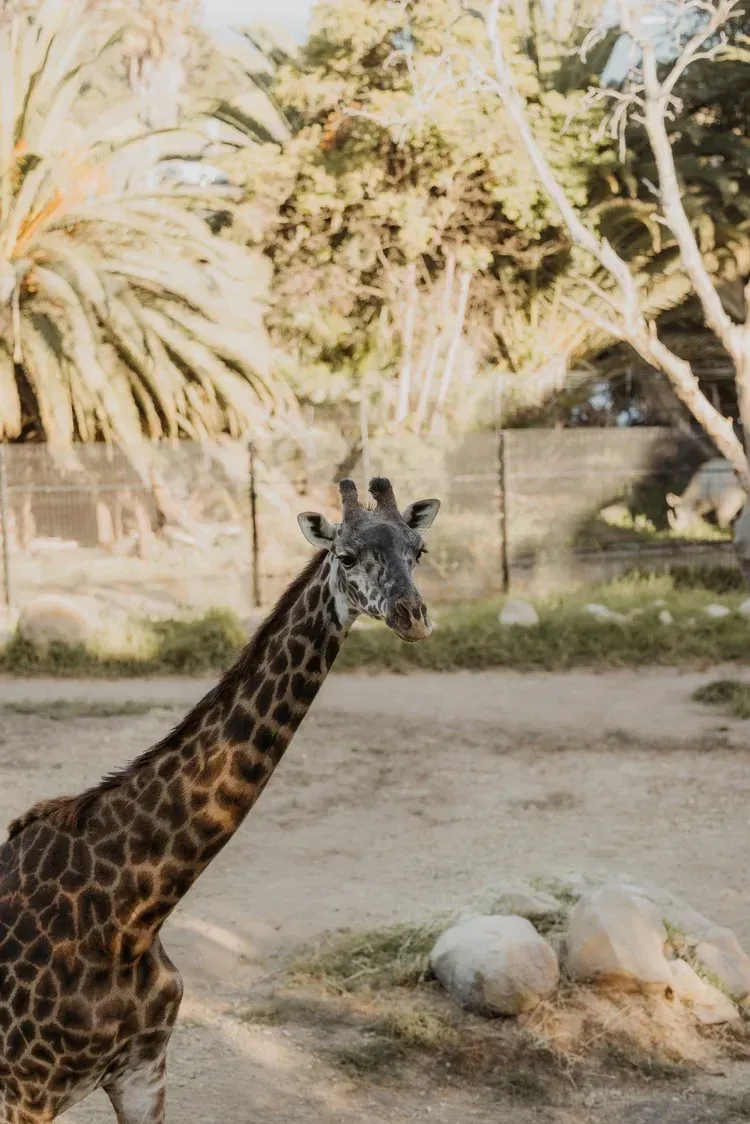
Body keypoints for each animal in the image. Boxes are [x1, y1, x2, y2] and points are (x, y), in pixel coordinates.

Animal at [0, 476, 440, 1123]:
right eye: (346, 556)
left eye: (418, 551)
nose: (413, 617)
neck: (131, 916)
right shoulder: (24, 1092)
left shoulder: (143, 1072)